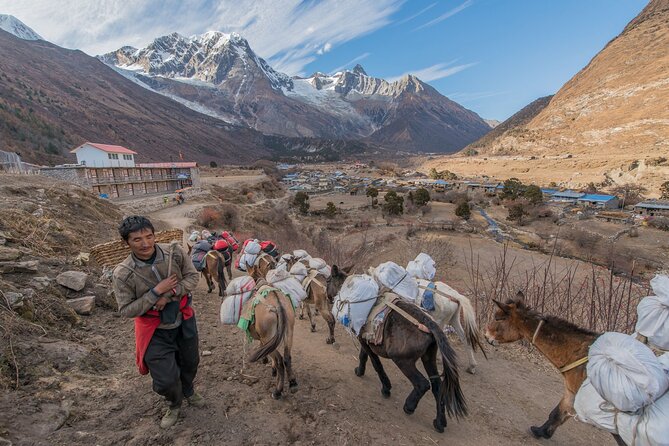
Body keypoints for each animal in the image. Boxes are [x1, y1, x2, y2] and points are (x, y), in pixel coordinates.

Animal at [328, 264, 464, 432]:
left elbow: (375, 363)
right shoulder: (365, 339)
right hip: (428, 358)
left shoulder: (365, 342)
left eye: (328, 280)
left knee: (423, 384)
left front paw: (386, 388)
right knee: (437, 386)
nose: (327, 296)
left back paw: (409, 406)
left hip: (402, 360)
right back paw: (439, 422)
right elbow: (364, 357)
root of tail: (429, 323)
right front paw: (360, 371)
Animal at [486, 294, 620, 444]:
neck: (580, 352)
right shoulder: (571, 393)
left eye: (498, 318)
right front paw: (541, 431)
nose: (486, 335)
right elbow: (556, 414)